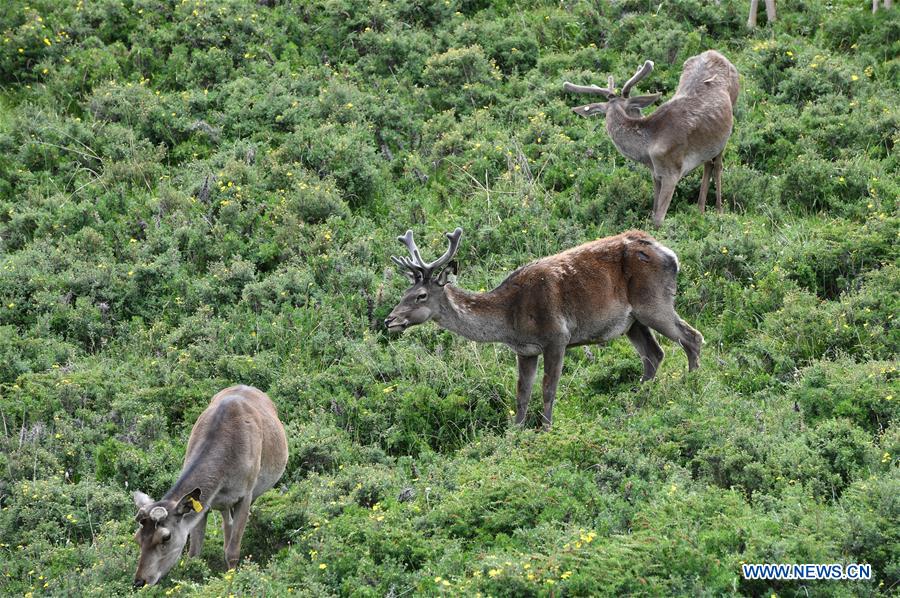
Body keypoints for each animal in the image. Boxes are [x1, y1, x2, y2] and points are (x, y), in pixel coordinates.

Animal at [128, 386, 284, 588]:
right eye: (137, 537)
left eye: (166, 536)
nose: (140, 581)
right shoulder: (203, 505)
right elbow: (194, 553)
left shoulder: (246, 494)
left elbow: (233, 551)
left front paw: (230, 581)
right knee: (226, 521)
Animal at [384, 227, 704, 428]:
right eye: (403, 293)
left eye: (420, 295)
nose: (390, 320)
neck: (511, 318)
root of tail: (671, 255)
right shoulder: (526, 350)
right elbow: (522, 393)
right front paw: (515, 431)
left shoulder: (556, 337)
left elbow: (548, 389)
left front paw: (547, 429)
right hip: (632, 322)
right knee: (654, 355)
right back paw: (637, 401)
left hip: (654, 303)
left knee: (692, 337)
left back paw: (692, 388)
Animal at [564, 49, 740, 226]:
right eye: (635, 109)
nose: (641, 115)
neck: (649, 149)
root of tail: (715, 53)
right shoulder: (655, 174)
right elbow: (653, 212)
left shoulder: (672, 172)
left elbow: (658, 219)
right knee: (708, 163)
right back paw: (700, 209)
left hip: (730, 114)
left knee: (717, 165)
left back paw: (718, 210)